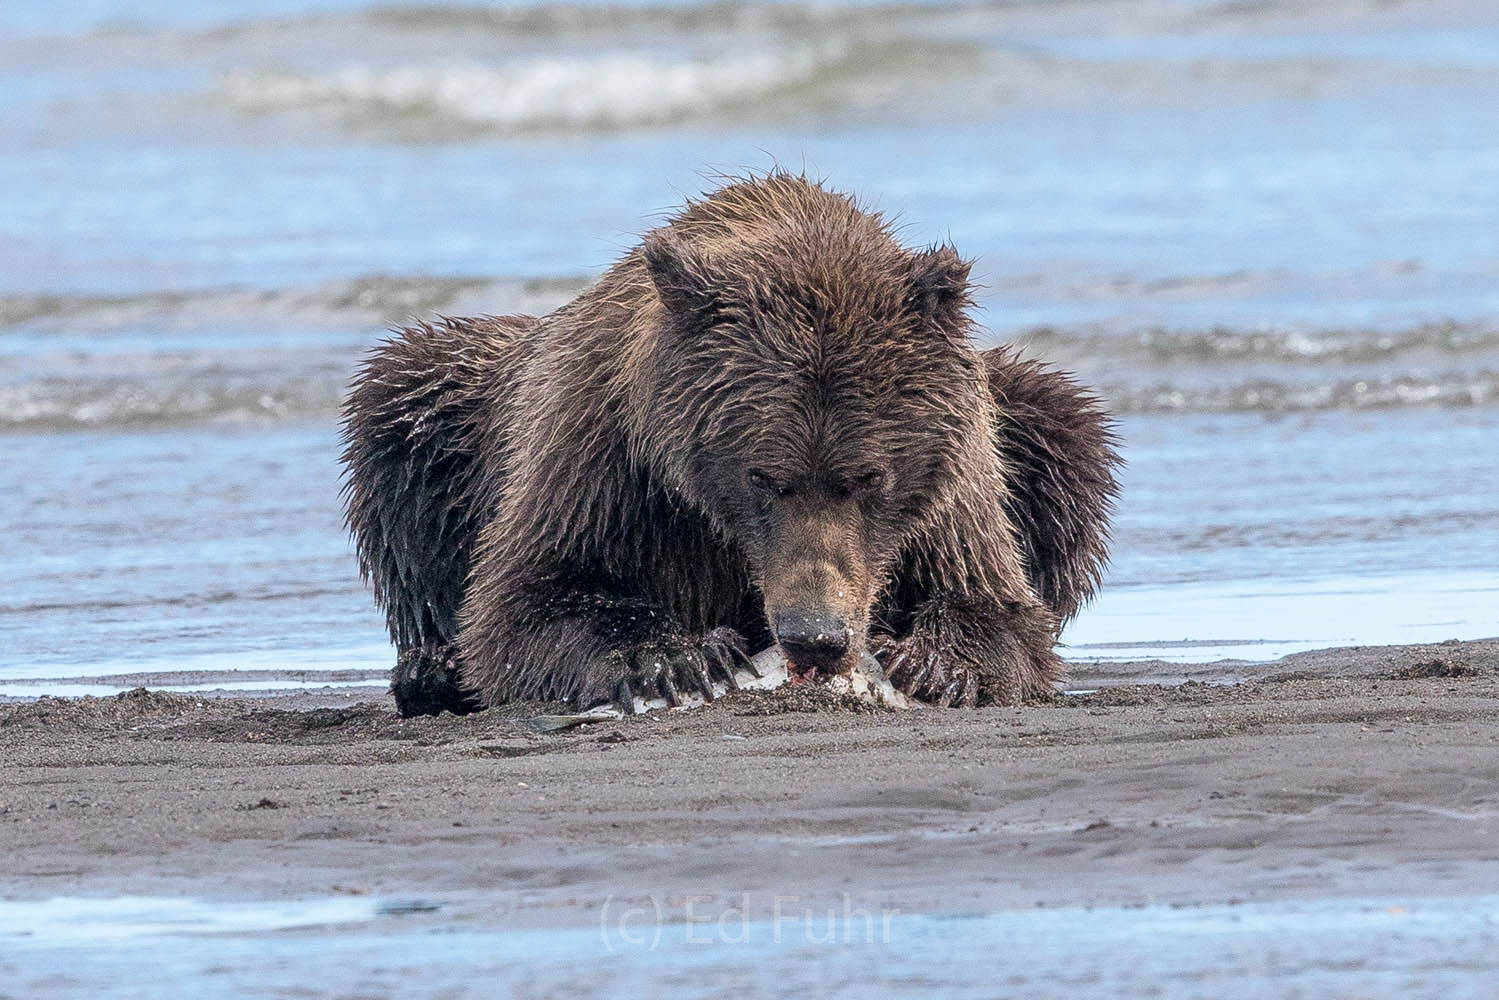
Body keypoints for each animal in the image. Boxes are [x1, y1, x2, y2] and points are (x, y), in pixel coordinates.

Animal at [337, 173, 1115, 719]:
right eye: (762, 475)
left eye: (867, 476)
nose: (815, 635)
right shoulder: (605, 454)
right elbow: (529, 595)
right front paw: (677, 658)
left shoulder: (955, 482)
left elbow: (995, 603)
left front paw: (934, 662)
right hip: (463, 406)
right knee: (401, 422)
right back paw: (430, 669)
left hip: (1022, 413)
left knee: (1067, 437)